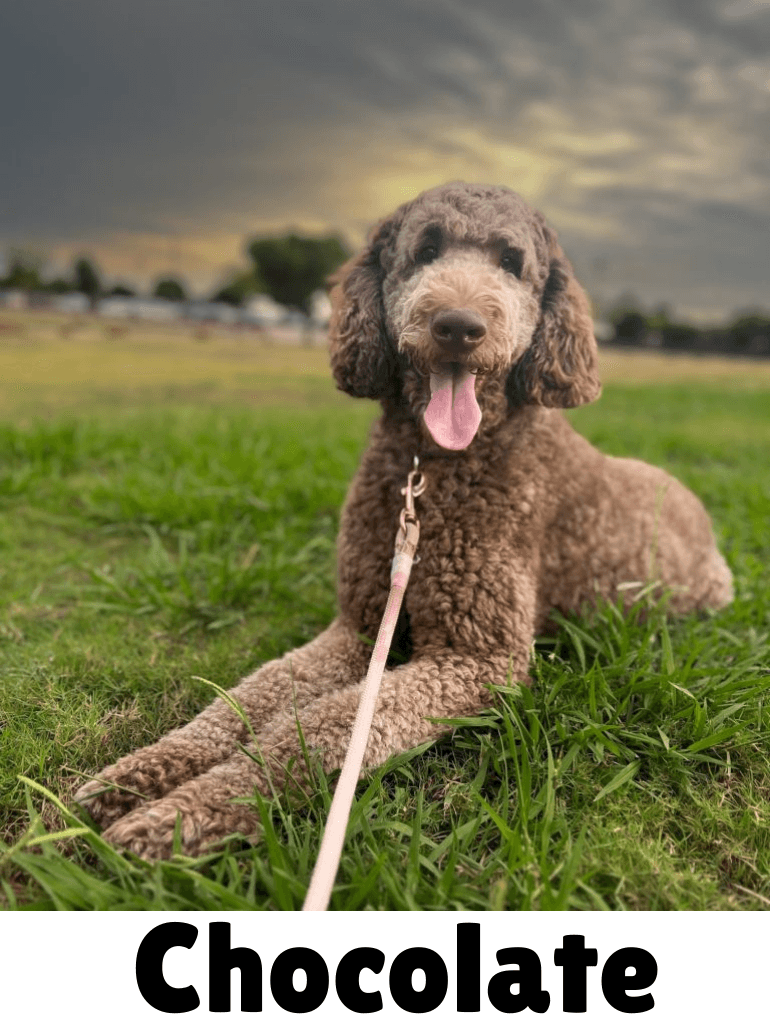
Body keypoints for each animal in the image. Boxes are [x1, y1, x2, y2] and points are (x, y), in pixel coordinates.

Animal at [73, 184, 733, 856]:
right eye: (426, 250)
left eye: (511, 261)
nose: (458, 326)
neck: (434, 464)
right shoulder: (360, 628)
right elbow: (244, 699)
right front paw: (138, 775)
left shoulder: (477, 657)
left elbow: (325, 727)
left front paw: (182, 813)